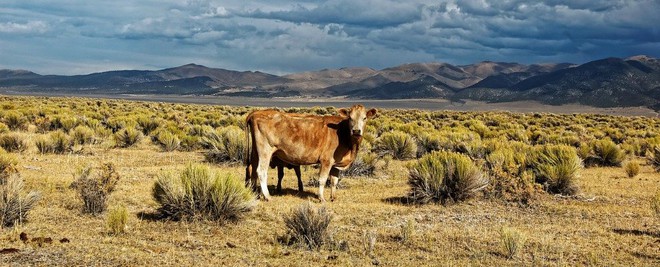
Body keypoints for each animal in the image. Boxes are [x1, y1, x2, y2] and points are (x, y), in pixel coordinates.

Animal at [245, 105, 376, 202]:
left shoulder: (335, 164)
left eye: (364, 118)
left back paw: (255, 192)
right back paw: (267, 196)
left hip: (255, 152)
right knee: (261, 171)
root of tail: (255, 113)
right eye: (350, 118)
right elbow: (323, 179)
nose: (356, 131)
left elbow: (334, 181)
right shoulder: (326, 160)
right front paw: (321, 198)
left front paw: (333, 197)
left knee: (252, 169)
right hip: (265, 151)